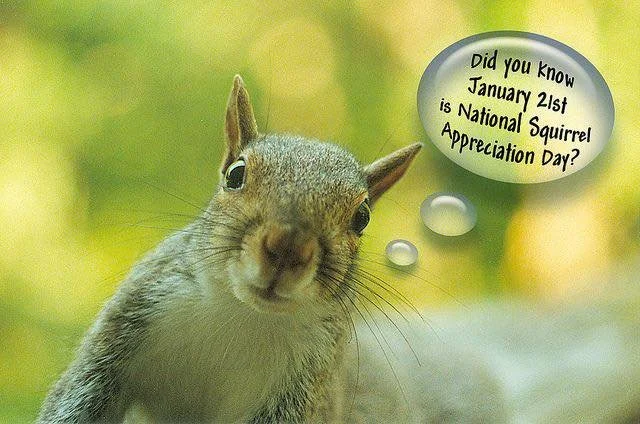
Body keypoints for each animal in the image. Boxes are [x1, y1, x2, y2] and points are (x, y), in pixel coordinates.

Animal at [38, 75, 422, 423]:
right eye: (235, 174)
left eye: (362, 217)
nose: (288, 250)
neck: (242, 314)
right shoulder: (124, 330)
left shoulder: (305, 384)